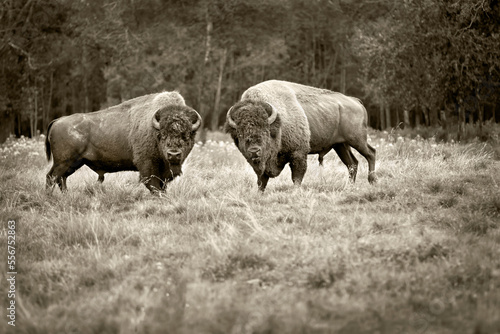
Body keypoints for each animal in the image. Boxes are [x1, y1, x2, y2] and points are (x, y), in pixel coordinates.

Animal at [45, 91, 201, 192]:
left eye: (187, 135)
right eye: (162, 135)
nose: (173, 154)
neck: (153, 129)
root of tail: (57, 120)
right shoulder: (147, 166)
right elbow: (154, 186)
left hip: (74, 163)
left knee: (61, 179)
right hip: (63, 162)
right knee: (52, 177)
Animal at [225, 79, 376, 192]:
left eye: (265, 130)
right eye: (240, 133)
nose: (254, 151)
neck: (279, 124)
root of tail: (355, 101)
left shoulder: (298, 153)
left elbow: (297, 177)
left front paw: (296, 192)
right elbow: (261, 181)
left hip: (357, 139)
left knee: (371, 153)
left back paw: (372, 181)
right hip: (340, 145)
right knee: (352, 163)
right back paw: (350, 187)